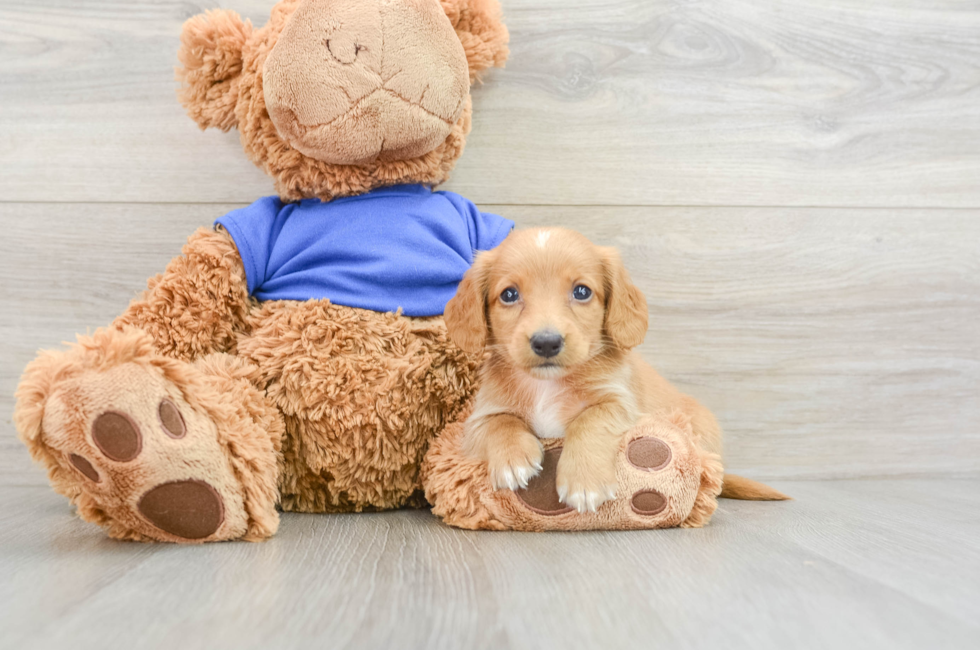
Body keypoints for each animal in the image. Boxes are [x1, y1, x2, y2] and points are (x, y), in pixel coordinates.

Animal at [444, 227, 728, 512]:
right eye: (509, 295)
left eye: (582, 291)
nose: (546, 342)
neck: (546, 385)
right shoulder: (478, 418)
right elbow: (501, 422)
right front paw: (511, 458)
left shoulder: (620, 403)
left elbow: (589, 420)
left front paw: (584, 481)